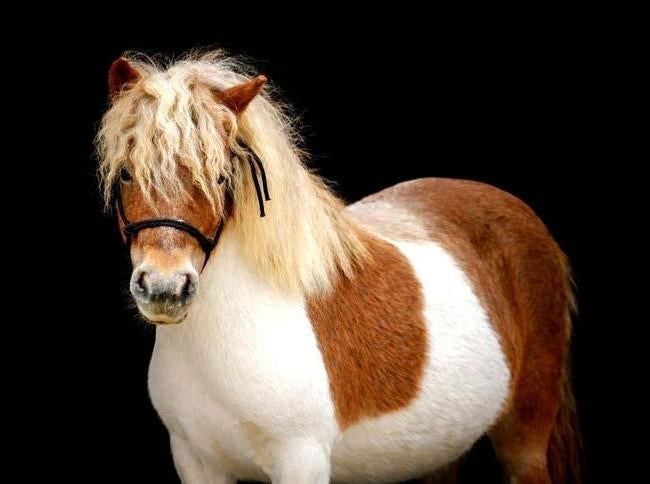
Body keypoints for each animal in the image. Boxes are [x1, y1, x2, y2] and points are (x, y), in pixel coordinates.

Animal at [96, 51, 580, 484]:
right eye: (126, 172)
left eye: (219, 177)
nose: (165, 289)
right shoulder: (196, 463)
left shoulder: (301, 460)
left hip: (525, 438)